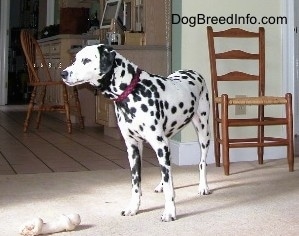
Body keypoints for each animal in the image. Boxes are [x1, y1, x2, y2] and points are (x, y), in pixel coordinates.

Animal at [61, 43, 211, 221]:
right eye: (75, 59)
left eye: (86, 60)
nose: (63, 73)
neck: (133, 90)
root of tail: (194, 72)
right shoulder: (134, 148)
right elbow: (136, 184)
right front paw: (133, 208)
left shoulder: (160, 145)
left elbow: (169, 186)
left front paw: (169, 212)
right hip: (167, 140)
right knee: (167, 169)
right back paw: (161, 184)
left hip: (203, 132)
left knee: (201, 162)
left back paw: (203, 186)